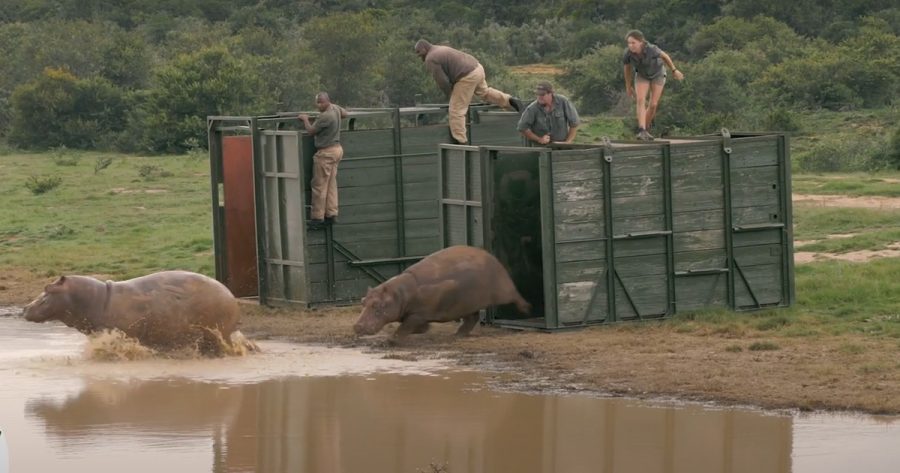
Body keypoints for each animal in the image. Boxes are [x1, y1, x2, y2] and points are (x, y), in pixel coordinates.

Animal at [353, 246, 531, 340]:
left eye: (377, 305)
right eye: (363, 301)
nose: (357, 326)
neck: (399, 295)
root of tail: (492, 257)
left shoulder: (417, 314)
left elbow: (405, 326)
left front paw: (392, 340)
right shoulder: (416, 315)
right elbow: (415, 326)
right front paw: (422, 330)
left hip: (504, 291)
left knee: (516, 295)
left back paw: (527, 308)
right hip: (465, 304)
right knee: (471, 318)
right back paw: (457, 334)